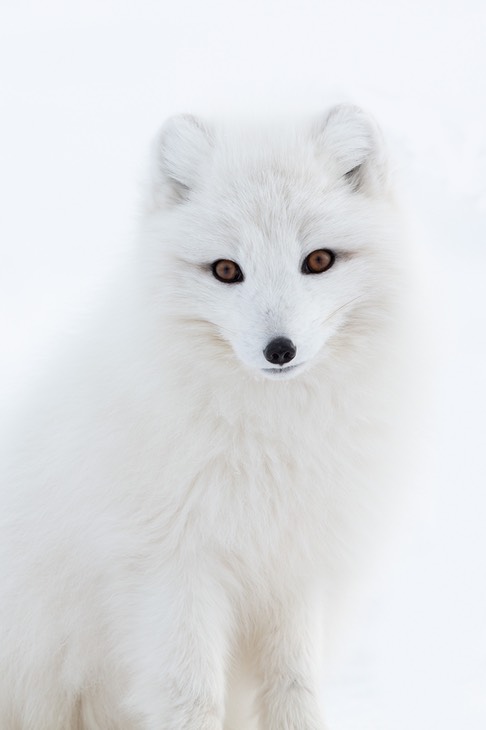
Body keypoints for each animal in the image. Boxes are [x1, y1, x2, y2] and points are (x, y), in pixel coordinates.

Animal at [0, 105, 414, 724]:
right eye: (225, 270)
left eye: (318, 260)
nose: (279, 350)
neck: (271, 441)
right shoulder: (173, 572)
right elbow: (190, 698)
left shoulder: (294, 566)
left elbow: (294, 684)